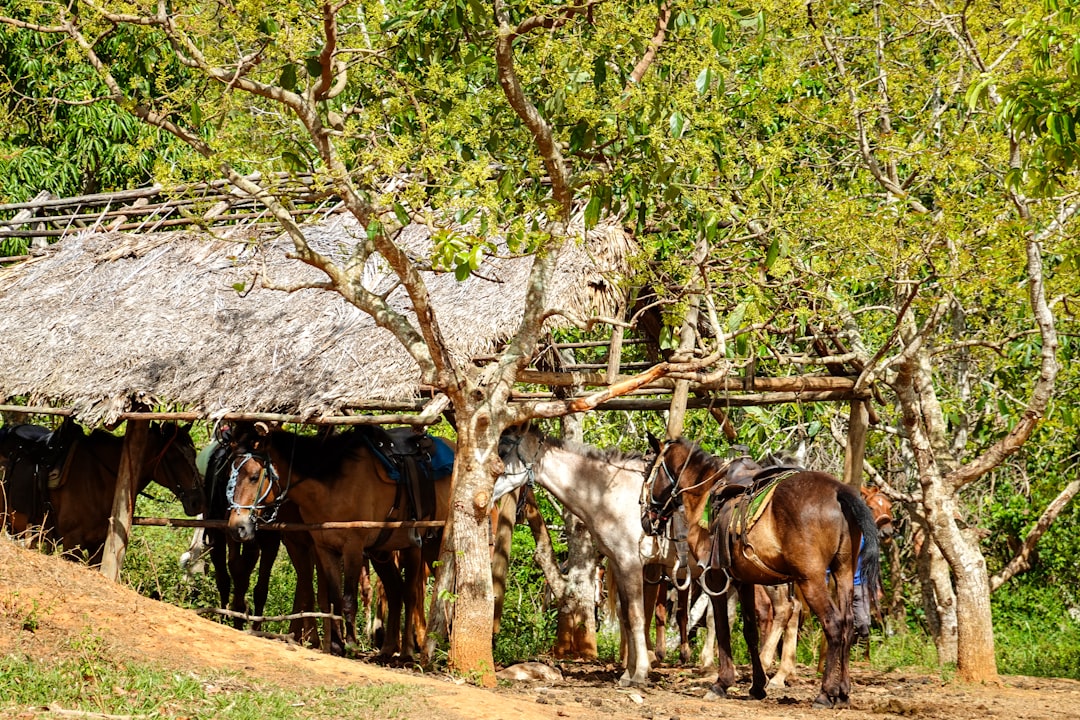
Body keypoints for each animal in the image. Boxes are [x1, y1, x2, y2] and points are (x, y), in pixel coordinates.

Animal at [0, 418, 204, 565]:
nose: (197, 502)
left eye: (194, 454)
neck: (99, 475)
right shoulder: (72, 543)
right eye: (174, 457)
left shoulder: (97, 546)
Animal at [223, 423, 451, 660]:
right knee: (396, 589)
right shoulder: (324, 548)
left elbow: (349, 600)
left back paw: (407, 651)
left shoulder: (353, 547)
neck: (332, 485)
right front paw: (335, 645)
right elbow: (334, 597)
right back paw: (388, 649)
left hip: (419, 546)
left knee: (412, 593)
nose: (237, 527)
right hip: (386, 552)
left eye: (254, 476)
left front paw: (350, 645)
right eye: (231, 474)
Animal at [494, 427, 660, 686]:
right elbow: (626, 618)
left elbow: (636, 617)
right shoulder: (618, 563)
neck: (609, 492)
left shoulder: (630, 562)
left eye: (502, 451)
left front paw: (640, 674)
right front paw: (628, 673)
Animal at [639, 436, 876, 712]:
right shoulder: (744, 580)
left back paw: (826, 693)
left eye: (648, 471)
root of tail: (838, 490)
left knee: (834, 624)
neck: (705, 491)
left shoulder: (716, 577)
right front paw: (757, 686)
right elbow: (750, 631)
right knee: (848, 623)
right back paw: (843, 691)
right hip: (844, 571)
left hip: (811, 580)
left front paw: (722, 683)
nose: (645, 518)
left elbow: (722, 627)